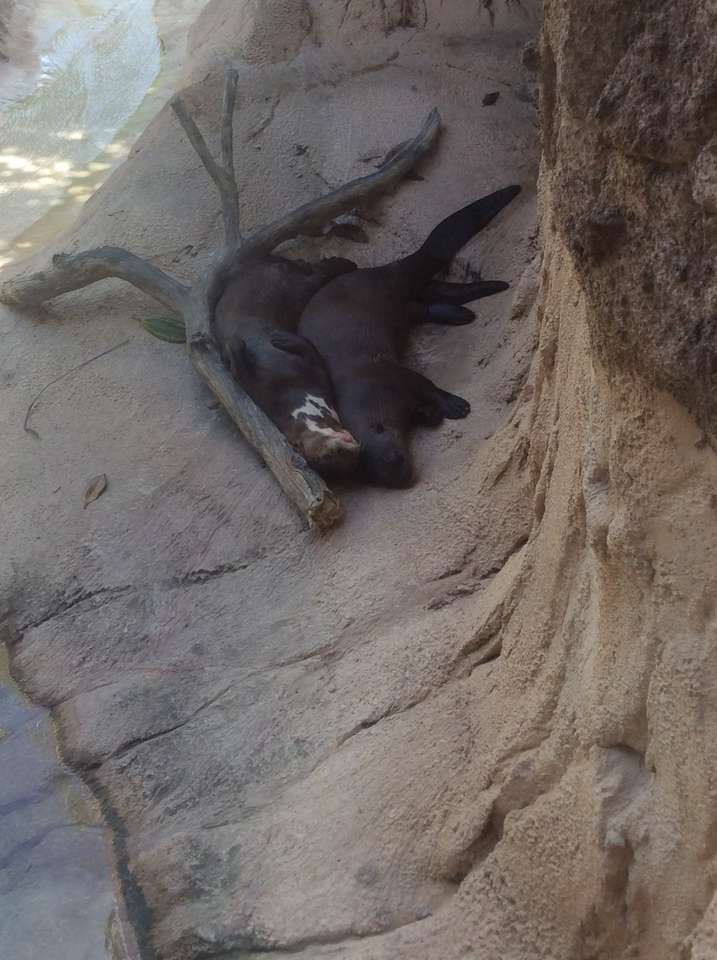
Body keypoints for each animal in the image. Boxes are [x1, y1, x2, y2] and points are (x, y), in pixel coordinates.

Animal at [210, 253, 360, 478]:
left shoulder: (306, 371)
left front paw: (280, 339)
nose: (350, 445)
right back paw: (339, 263)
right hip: (296, 286)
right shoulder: (311, 372)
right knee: (314, 276)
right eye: (332, 454)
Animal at [296, 186, 520, 488]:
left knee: (425, 281)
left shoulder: (390, 374)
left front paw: (455, 405)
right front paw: (431, 413)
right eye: (381, 480)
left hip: (390, 287)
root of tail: (380, 270)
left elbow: (425, 383)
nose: (404, 478)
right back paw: (467, 309)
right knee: (430, 297)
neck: (371, 395)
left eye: (396, 458)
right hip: (404, 304)